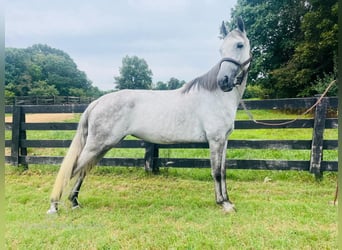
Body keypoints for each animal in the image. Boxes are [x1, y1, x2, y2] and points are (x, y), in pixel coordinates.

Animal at [46, 16, 251, 214]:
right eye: (221, 49)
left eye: (239, 45)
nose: (223, 81)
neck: (215, 96)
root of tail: (97, 102)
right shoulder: (215, 140)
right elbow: (216, 172)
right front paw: (224, 204)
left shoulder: (223, 141)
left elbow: (223, 171)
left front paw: (227, 201)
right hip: (97, 145)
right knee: (73, 169)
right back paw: (54, 206)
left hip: (102, 146)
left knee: (83, 170)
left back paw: (74, 202)